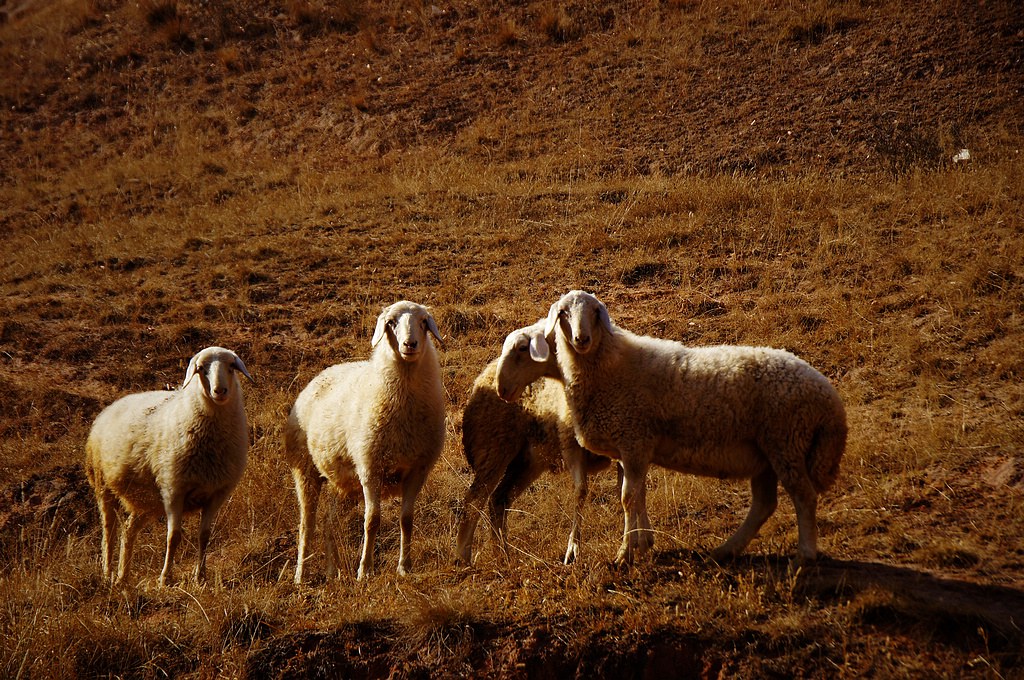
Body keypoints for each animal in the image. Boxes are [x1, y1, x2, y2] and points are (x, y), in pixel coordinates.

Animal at [86, 348, 258, 585]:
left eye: (231, 366)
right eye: (201, 369)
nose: (220, 391)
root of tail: (112, 406)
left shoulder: (216, 494)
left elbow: (204, 536)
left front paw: (200, 576)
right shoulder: (173, 490)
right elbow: (173, 537)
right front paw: (165, 577)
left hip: (147, 501)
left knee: (128, 530)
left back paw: (123, 577)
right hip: (103, 485)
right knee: (108, 531)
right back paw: (107, 573)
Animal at [288, 301, 448, 581]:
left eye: (423, 322)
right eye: (391, 323)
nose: (410, 345)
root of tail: (323, 373)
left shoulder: (417, 470)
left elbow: (407, 519)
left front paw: (404, 567)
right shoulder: (371, 468)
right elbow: (372, 521)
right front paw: (365, 570)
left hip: (342, 482)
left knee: (329, 524)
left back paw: (333, 573)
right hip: (305, 470)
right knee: (306, 525)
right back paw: (300, 576)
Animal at [458, 321, 614, 565]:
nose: (504, 387)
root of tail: (481, 380)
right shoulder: (571, 445)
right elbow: (581, 491)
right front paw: (572, 551)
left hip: (527, 461)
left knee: (498, 499)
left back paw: (503, 555)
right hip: (494, 450)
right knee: (473, 501)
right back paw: (464, 559)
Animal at [540, 288, 843, 565]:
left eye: (594, 312)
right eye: (564, 312)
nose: (582, 339)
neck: (609, 367)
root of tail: (828, 396)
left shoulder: (634, 441)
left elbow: (628, 498)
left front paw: (625, 553)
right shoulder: (633, 447)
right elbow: (638, 495)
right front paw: (642, 543)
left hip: (786, 441)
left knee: (803, 496)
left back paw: (804, 554)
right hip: (766, 453)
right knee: (764, 504)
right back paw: (726, 549)